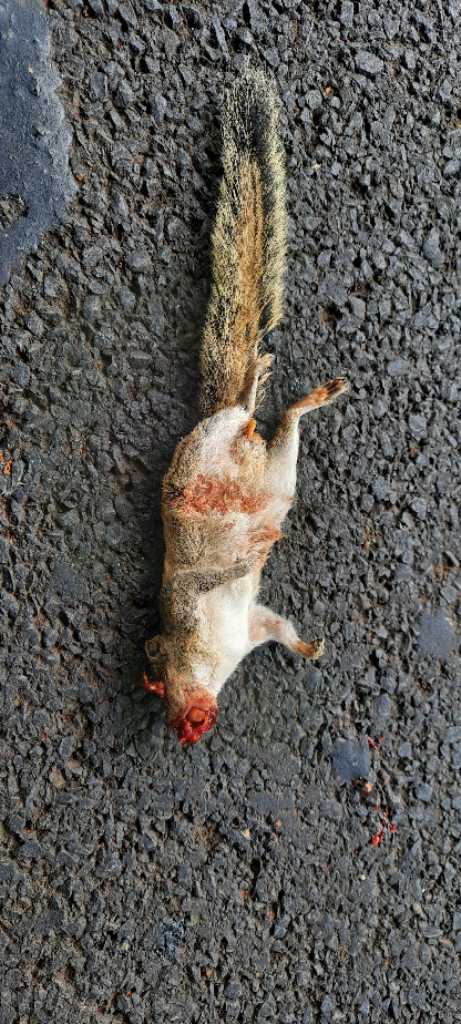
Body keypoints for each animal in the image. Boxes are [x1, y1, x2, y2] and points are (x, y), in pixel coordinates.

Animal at [143, 68, 349, 747]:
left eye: (159, 683)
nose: (186, 732)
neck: (210, 653)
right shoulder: (254, 626)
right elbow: (278, 628)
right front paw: (310, 648)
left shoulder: (187, 602)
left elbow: (200, 582)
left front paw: (230, 567)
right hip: (279, 467)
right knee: (280, 424)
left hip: (222, 448)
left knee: (260, 412)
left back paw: (263, 380)